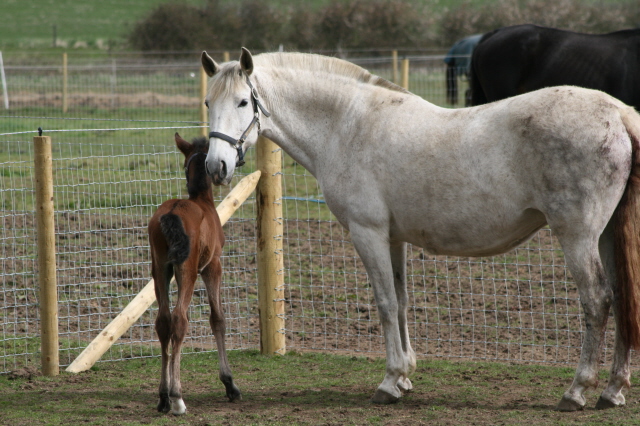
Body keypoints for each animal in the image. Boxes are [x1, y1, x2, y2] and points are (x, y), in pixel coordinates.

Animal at [149, 134, 241, 416]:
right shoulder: (213, 266)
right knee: (179, 320)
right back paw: (177, 398)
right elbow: (217, 318)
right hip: (186, 270)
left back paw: (163, 397)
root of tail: (172, 213)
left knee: (163, 321)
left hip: (159, 268)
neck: (202, 201)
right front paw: (229, 384)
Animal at [200, 48, 640, 412]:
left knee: (597, 300)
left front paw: (390, 381)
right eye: (208, 102)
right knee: (621, 296)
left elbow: (384, 303)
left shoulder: (368, 232)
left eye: (243, 101)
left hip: (577, 235)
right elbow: (402, 300)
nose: (215, 167)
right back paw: (612, 390)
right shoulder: (393, 238)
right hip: (604, 235)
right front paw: (406, 376)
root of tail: (618, 113)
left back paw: (577, 390)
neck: (347, 125)